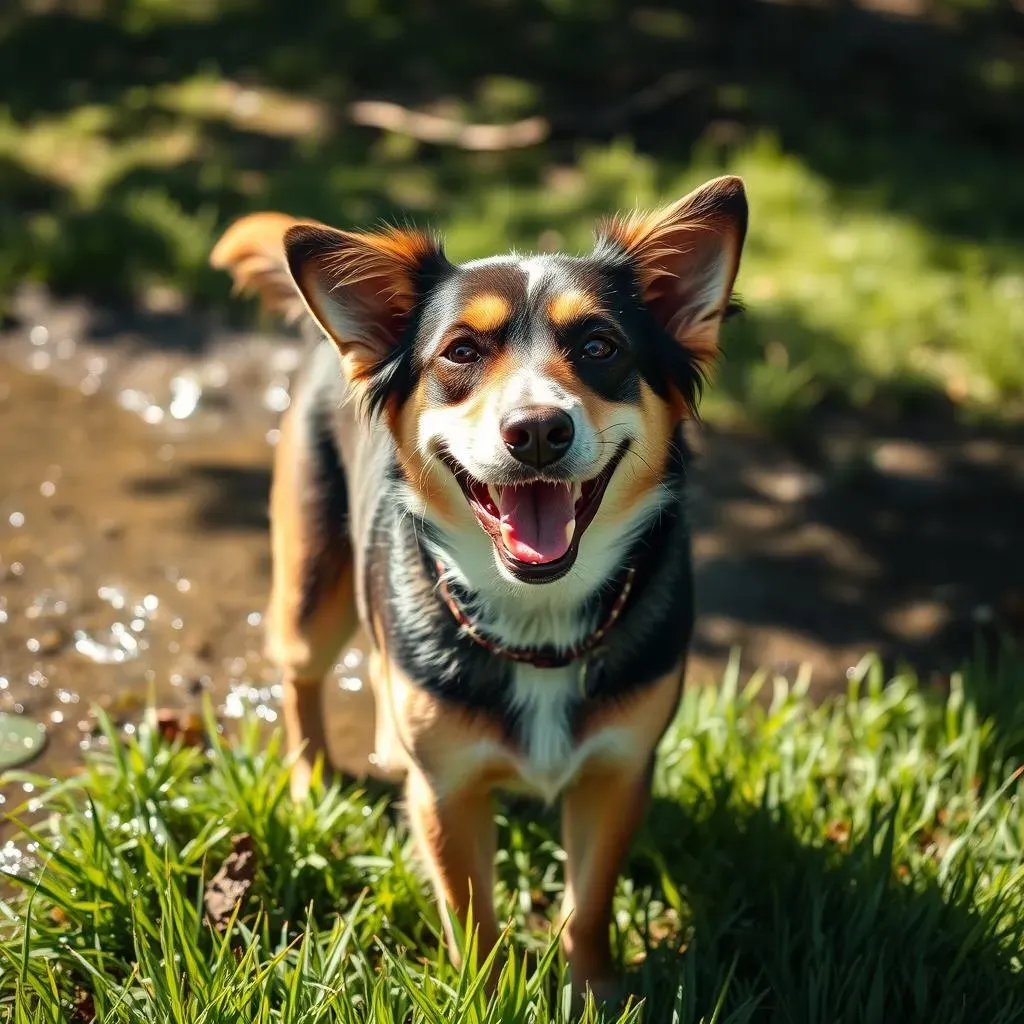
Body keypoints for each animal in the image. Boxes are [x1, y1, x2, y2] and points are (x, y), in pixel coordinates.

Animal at [211, 176, 749, 999]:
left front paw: (595, 992)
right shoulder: (450, 792)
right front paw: (488, 994)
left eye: (599, 347)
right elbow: (472, 914)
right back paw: (312, 780)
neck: (539, 616)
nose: (537, 430)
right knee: (302, 675)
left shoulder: (619, 772)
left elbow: (589, 903)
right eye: (461, 351)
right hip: (311, 584)